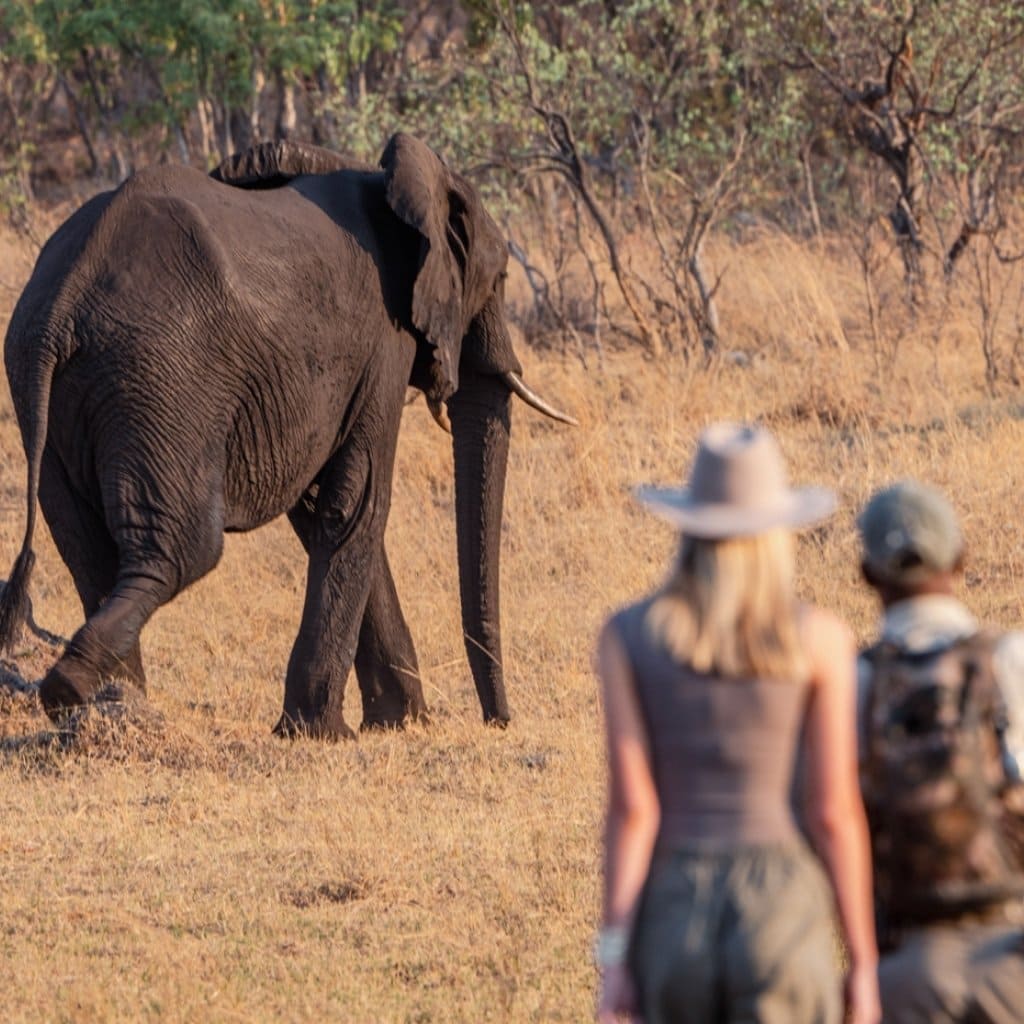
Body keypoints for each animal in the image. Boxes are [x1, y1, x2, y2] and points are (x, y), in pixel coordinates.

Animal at [0, 133, 573, 739]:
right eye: (502, 280)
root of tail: (64, 299)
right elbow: (359, 501)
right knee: (183, 549)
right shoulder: (383, 341)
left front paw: (397, 723)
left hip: (52, 389)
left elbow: (324, 505)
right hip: (163, 377)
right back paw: (74, 689)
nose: (499, 722)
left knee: (86, 547)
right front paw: (326, 733)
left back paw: (112, 708)